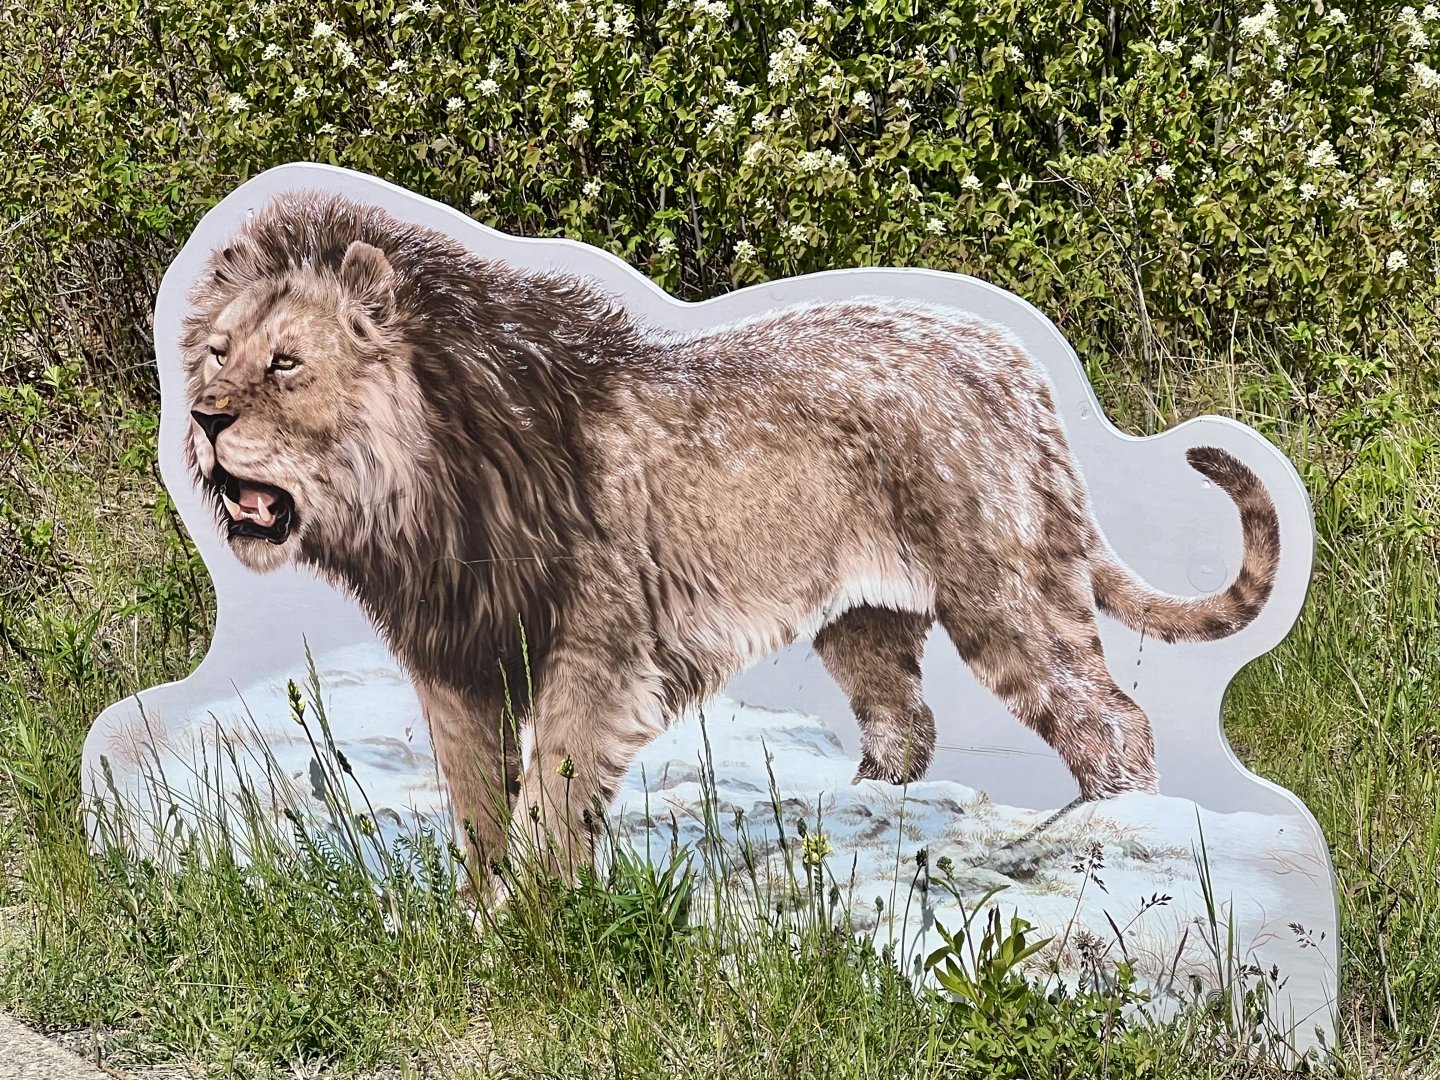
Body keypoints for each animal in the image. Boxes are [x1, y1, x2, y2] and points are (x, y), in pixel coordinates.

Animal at [180, 192, 1280, 886]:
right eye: (216, 352)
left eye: (287, 363)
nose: (201, 416)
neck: (424, 489)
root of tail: (1021, 366)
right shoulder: (456, 661)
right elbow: (477, 806)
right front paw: (482, 918)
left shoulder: (600, 651)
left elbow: (553, 799)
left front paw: (535, 919)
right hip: (864, 619)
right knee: (906, 725)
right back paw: (850, 820)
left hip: (1004, 593)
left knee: (1110, 719)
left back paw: (1106, 831)